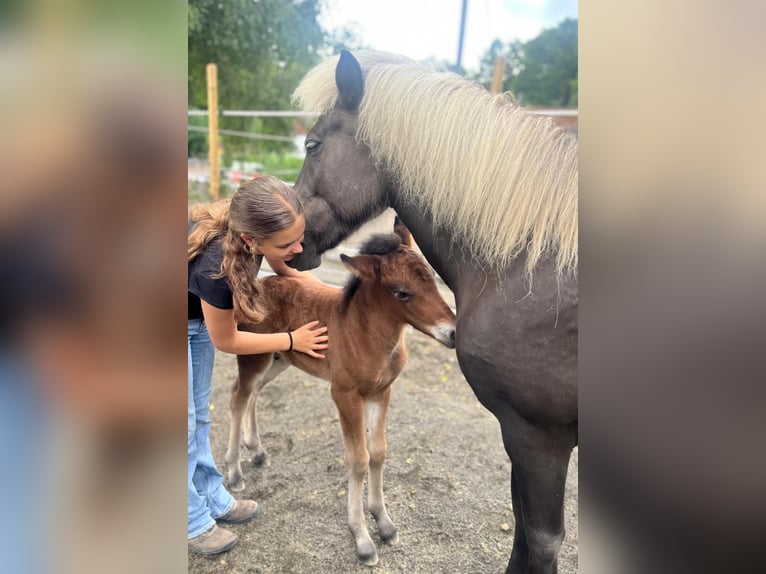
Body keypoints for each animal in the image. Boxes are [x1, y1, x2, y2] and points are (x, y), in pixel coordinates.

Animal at [225, 227, 456, 566]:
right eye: (401, 292)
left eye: (432, 278)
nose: (452, 333)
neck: (365, 334)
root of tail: (254, 287)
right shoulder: (345, 395)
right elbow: (358, 460)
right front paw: (362, 538)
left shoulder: (381, 393)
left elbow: (378, 453)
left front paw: (384, 523)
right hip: (255, 357)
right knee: (238, 398)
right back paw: (234, 471)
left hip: (279, 359)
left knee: (253, 393)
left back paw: (257, 450)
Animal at [287, 50, 578, 574]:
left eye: (313, 144)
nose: (293, 244)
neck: (528, 264)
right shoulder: (519, 434)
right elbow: (521, 526)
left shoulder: (539, 436)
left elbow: (541, 540)